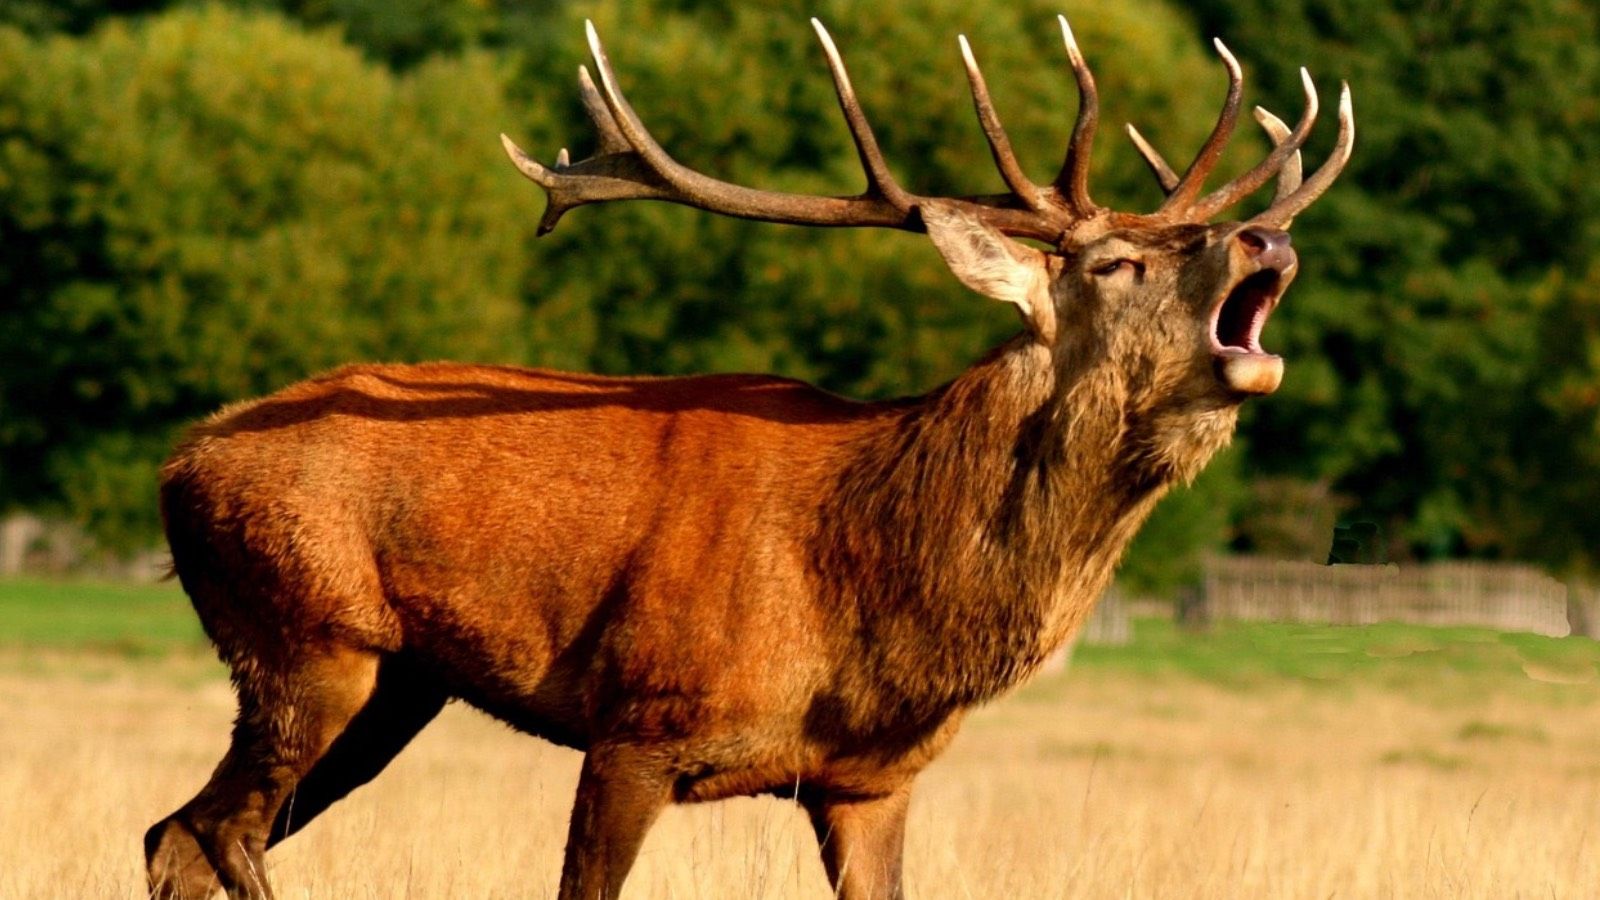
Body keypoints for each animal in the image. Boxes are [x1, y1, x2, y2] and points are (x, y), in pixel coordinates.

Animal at [145, 15, 1352, 900]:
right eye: (1110, 264)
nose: (1268, 235)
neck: (866, 596)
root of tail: (178, 462)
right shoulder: (637, 719)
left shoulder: (871, 782)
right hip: (304, 635)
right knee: (214, 833)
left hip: (396, 684)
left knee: (177, 835)